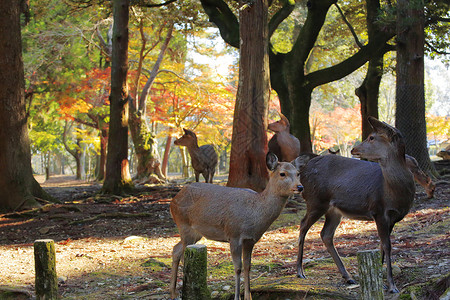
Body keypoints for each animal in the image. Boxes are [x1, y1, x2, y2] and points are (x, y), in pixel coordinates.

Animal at [171, 154, 304, 300]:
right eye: (282, 173)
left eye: (298, 173)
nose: (300, 186)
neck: (254, 216)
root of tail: (173, 200)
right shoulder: (234, 234)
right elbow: (238, 268)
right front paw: (237, 297)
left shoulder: (250, 240)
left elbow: (247, 266)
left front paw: (248, 296)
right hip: (183, 225)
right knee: (181, 254)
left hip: (195, 233)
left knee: (176, 250)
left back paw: (173, 293)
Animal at [298, 116, 416, 292]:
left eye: (372, 137)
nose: (354, 149)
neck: (393, 192)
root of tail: (302, 173)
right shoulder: (378, 211)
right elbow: (387, 245)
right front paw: (392, 285)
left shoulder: (393, 218)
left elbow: (382, 245)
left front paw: (381, 278)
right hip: (316, 200)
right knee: (303, 225)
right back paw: (300, 271)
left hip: (334, 211)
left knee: (326, 234)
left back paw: (348, 277)